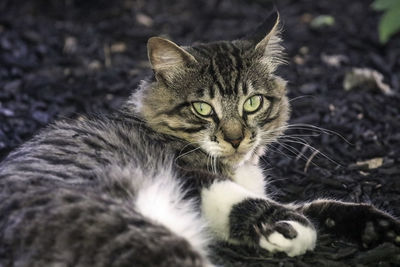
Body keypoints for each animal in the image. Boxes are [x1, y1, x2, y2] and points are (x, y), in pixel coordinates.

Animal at [0, 11, 400, 266]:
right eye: (203, 108)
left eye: (252, 102)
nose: (236, 139)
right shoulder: (186, 173)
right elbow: (242, 198)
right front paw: (289, 229)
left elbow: (322, 205)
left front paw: (381, 228)